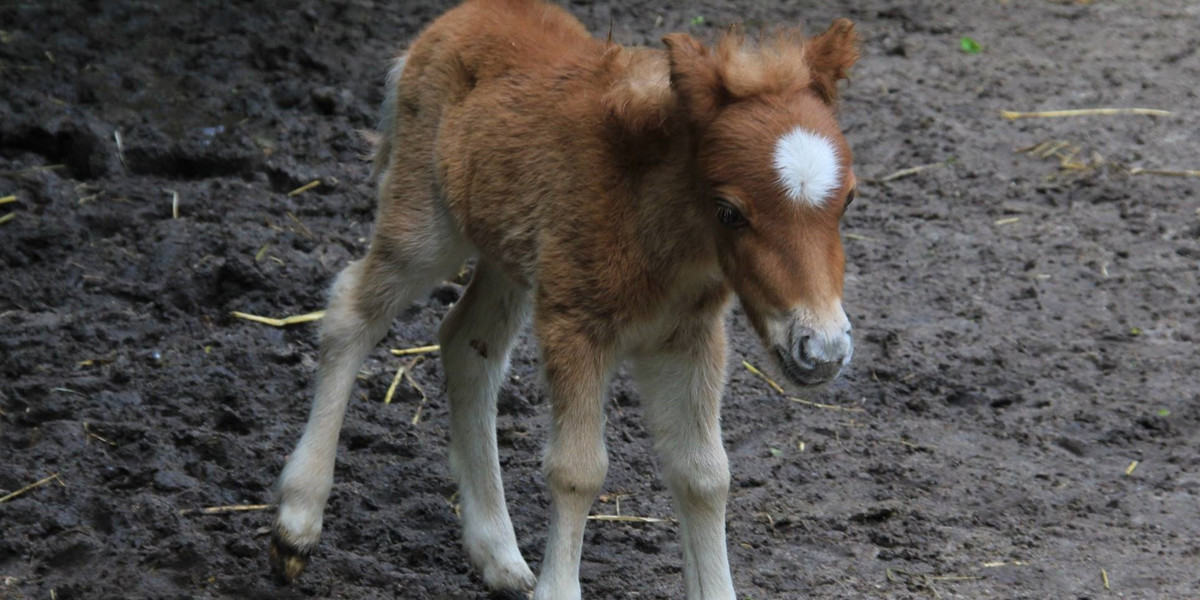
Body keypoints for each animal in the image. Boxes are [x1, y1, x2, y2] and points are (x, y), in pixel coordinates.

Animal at [267, 2, 859, 597]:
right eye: (729, 211)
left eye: (849, 199)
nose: (822, 350)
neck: (657, 223)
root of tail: (457, 17)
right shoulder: (574, 323)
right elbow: (578, 471)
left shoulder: (689, 337)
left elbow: (704, 473)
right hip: (424, 222)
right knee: (351, 311)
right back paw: (297, 524)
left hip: (507, 252)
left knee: (466, 342)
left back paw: (498, 556)